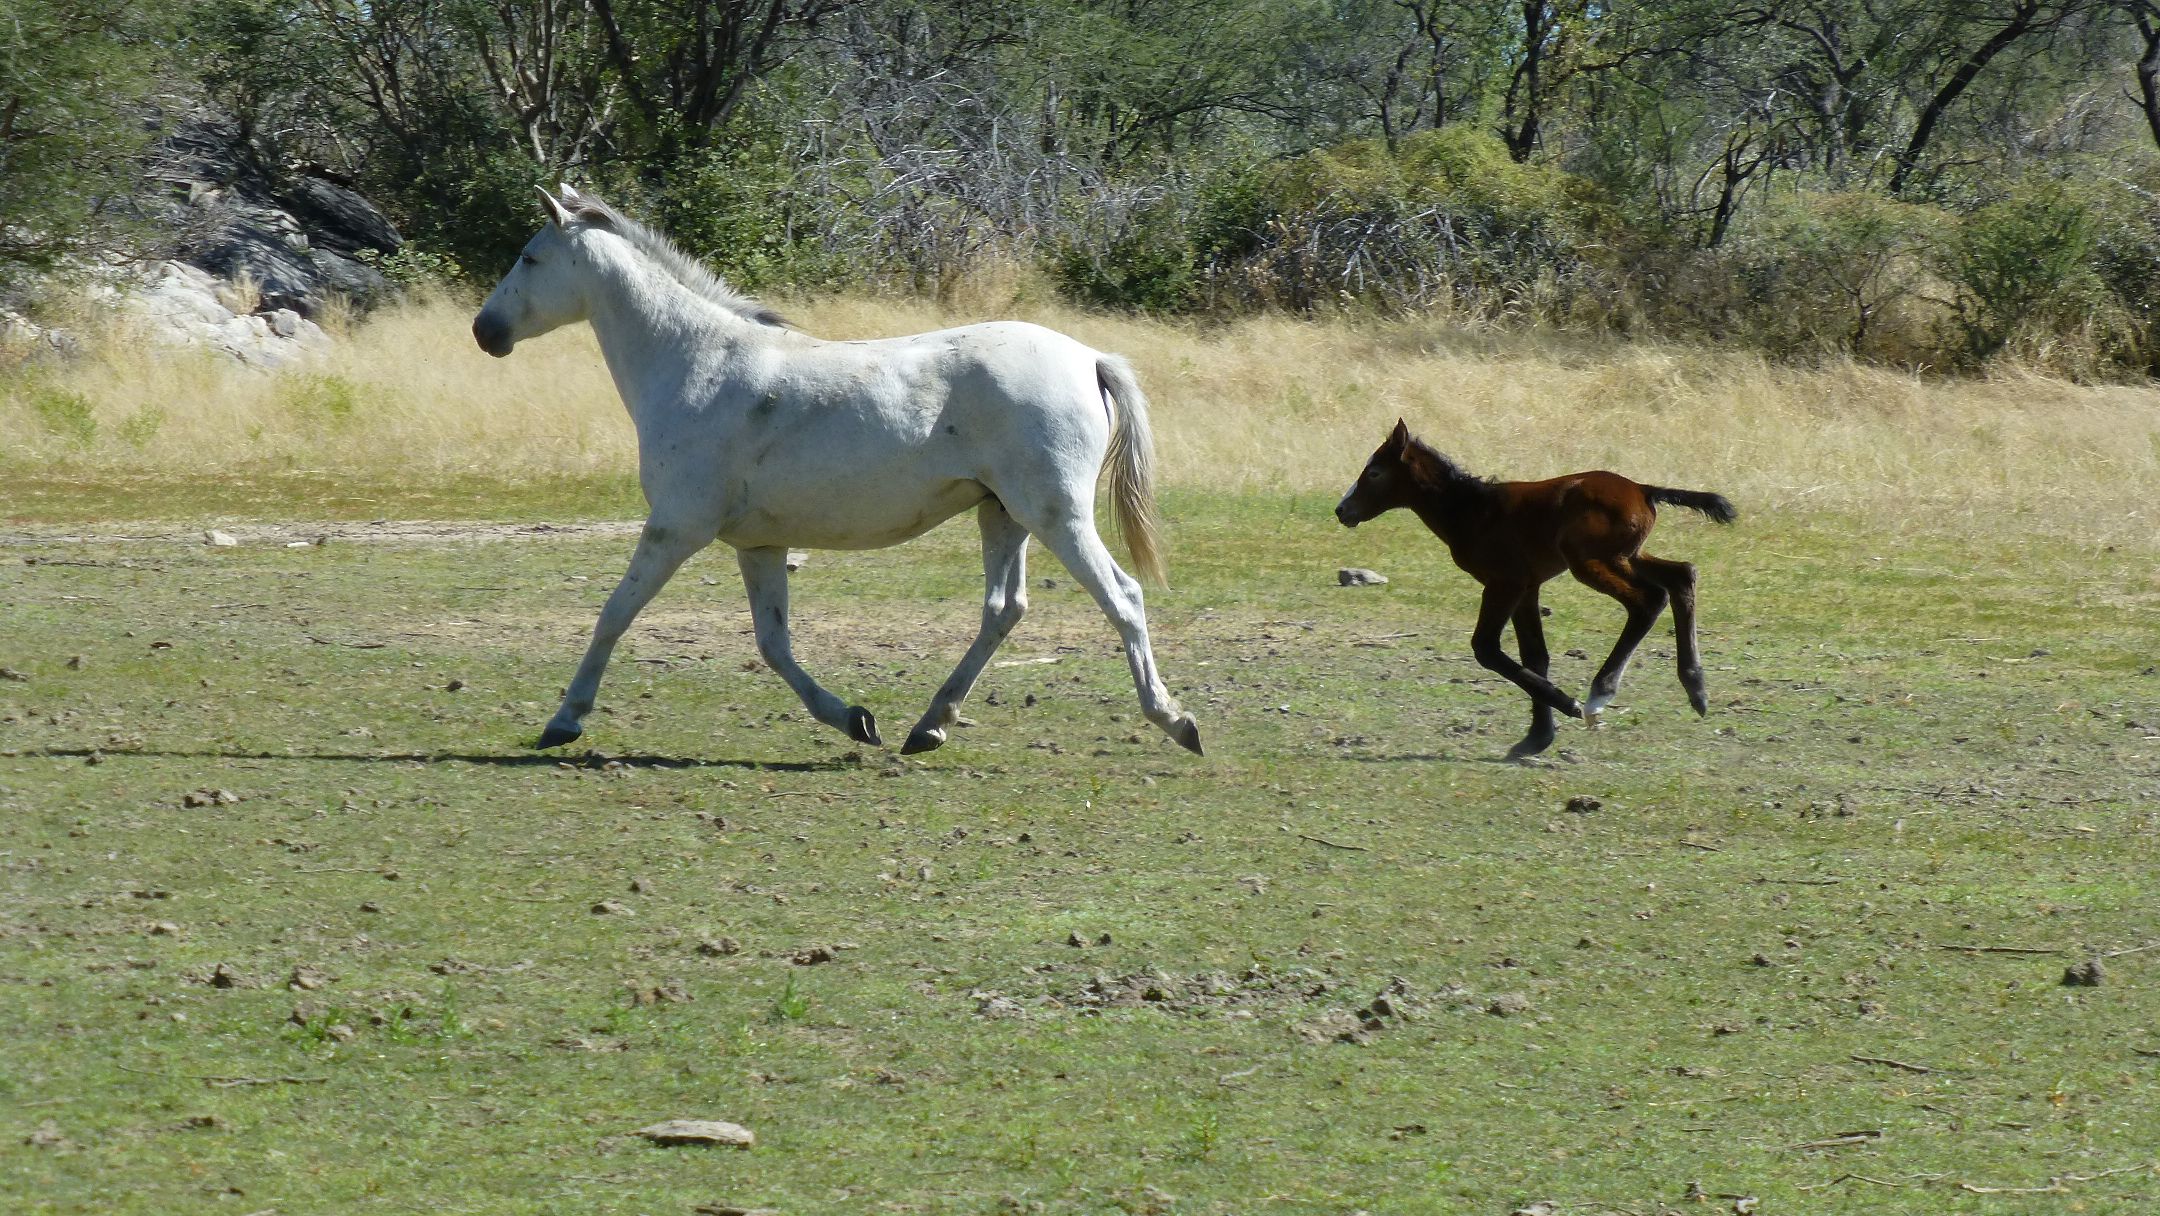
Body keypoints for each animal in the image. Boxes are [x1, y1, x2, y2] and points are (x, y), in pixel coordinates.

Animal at [468, 185, 1200, 755]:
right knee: (1003, 610)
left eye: (530, 257)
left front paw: (565, 719)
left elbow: (615, 612)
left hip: (1057, 514)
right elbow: (773, 644)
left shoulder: (676, 527)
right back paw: (929, 726)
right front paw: (854, 719)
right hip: (1004, 515)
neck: (695, 363)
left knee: (1123, 597)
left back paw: (1175, 721)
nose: (485, 330)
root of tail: (1088, 358)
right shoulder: (758, 544)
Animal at [1330, 421, 1736, 760]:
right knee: (1682, 575)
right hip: (1626, 556)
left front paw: (1567, 706)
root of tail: (1643, 489)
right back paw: (1696, 688)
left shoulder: (1504, 583)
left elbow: (1486, 649)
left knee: (1649, 600)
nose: (1341, 511)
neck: (1474, 510)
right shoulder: (1528, 587)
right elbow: (1535, 656)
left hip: (1590, 562)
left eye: (1374, 473)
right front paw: (1537, 738)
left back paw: (1599, 695)